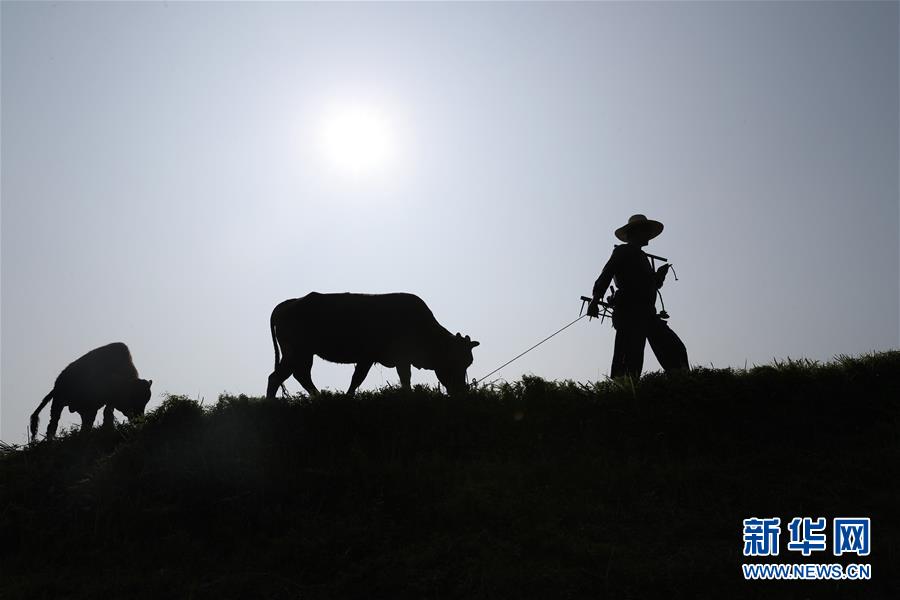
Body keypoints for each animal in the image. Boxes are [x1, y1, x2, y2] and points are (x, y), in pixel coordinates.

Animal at [266, 292, 478, 398]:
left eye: (468, 363)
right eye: (456, 361)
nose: (462, 391)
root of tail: (287, 304)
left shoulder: (400, 360)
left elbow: (404, 379)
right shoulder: (368, 357)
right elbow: (357, 379)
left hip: (302, 354)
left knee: (297, 375)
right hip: (298, 352)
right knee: (278, 377)